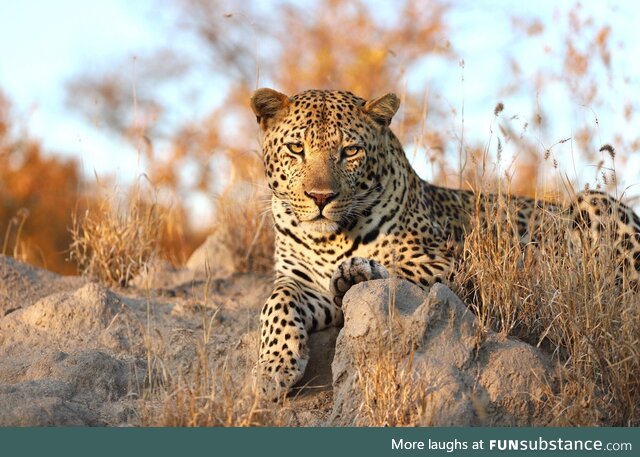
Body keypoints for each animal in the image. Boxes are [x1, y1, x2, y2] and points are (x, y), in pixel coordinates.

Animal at [249, 87, 640, 398]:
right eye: (296, 148)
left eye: (350, 151)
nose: (320, 197)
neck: (328, 240)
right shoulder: (301, 281)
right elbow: (277, 300)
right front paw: (273, 368)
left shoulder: (455, 265)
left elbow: (398, 268)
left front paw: (359, 272)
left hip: (593, 203)